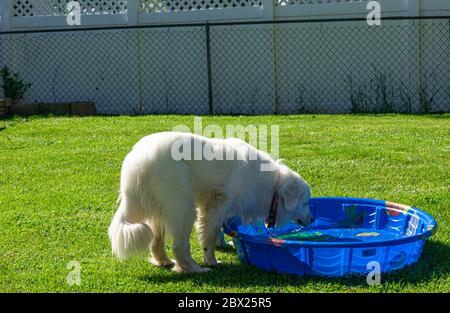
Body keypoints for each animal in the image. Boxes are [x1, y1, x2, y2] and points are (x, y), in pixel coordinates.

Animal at [109, 130, 312, 272]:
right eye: (306, 203)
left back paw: (164, 261)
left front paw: (222, 245)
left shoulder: (215, 206)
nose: (311, 219)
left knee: (156, 242)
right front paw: (211, 260)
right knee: (179, 246)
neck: (272, 183)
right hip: (184, 207)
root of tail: (137, 161)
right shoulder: (218, 203)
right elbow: (211, 233)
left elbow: (218, 230)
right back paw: (194, 269)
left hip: (161, 210)